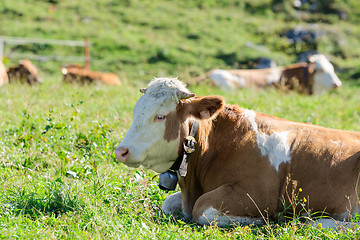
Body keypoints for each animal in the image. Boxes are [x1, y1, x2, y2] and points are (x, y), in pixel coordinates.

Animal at [114, 77, 360, 229]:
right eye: (135, 112)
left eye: (160, 116)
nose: (120, 151)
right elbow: (168, 203)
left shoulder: (257, 195)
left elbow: (202, 208)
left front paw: (261, 220)